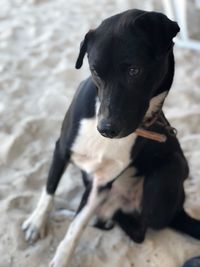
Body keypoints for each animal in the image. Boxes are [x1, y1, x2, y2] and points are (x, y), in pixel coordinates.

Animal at [21, 8, 200, 267]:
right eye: (95, 71)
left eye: (134, 70)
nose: (106, 128)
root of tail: (179, 209)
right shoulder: (62, 149)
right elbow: (49, 189)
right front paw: (37, 222)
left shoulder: (102, 182)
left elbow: (76, 228)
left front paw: (62, 256)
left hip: (171, 170)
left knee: (137, 231)